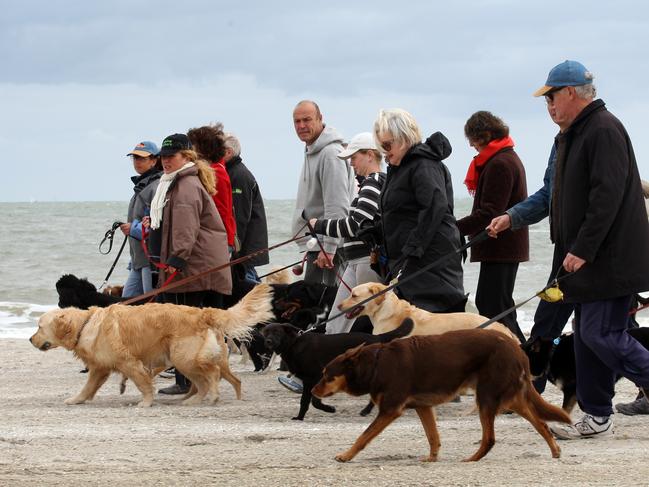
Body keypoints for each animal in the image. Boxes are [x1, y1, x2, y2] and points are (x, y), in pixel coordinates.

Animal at [31, 286, 274, 408]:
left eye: (39, 326)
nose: (31, 340)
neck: (85, 324)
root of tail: (202, 312)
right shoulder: (100, 368)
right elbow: (88, 387)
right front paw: (76, 399)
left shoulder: (128, 362)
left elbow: (143, 383)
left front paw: (146, 402)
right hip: (185, 358)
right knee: (210, 380)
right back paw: (197, 399)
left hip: (183, 357)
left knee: (211, 375)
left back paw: (210, 396)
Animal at [260, 320, 412, 420]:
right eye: (266, 333)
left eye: (276, 332)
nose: (268, 341)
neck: (293, 343)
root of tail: (377, 337)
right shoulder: (310, 380)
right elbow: (308, 401)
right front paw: (301, 417)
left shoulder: (313, 378)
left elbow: (311, 401)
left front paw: (327, 409)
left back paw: (367, 410)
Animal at [312, 326, 568, 464]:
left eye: (327, 375)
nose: (313, 390)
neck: (376, 364)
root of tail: (516, 348)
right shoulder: (423, 407)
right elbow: (433, 436)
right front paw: (432, 458)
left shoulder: (390, 410)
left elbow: (363, 437)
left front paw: (346, 455)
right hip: (510, 398)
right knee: (540, 423)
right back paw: (555, 450)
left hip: (486, 398)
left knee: (490, 439)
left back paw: (472, 459)